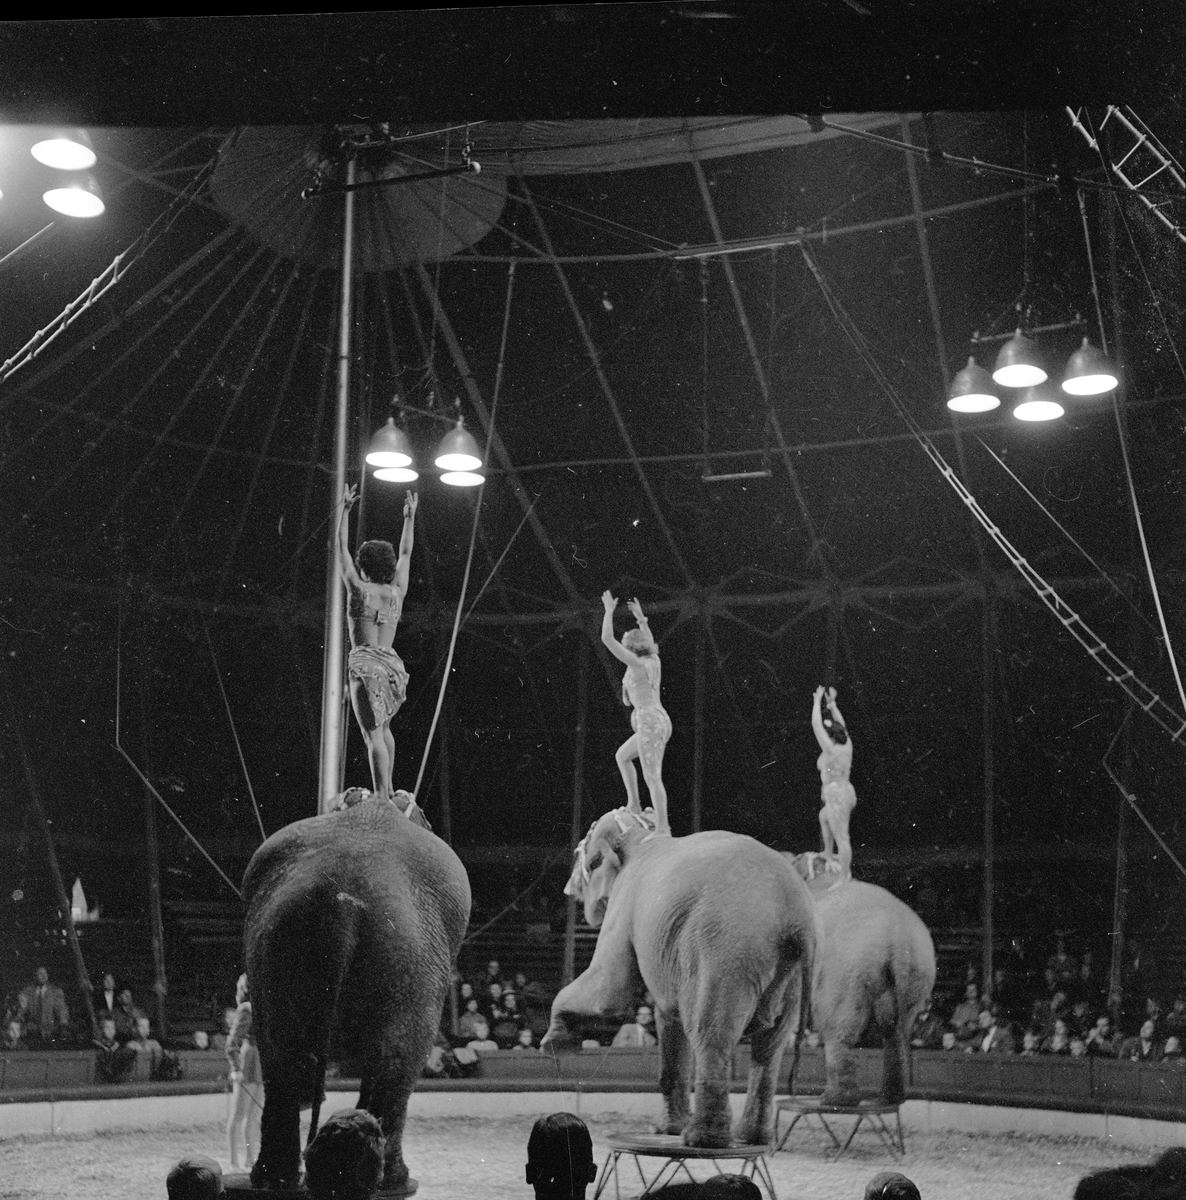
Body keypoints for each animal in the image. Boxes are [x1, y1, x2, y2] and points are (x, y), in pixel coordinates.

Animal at [243, 792, 470, 1195]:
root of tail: (343, 902)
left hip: (274, 948)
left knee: (277, 1052)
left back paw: (273, 1179)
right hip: (411, 959)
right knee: (398, 1061)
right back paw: (394, 1180)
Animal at [544, 811, 816, 1147]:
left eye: (584, 857)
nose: (569, 891)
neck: (641, 837)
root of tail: (796, 917)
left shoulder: (624, 902)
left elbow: (610, 989)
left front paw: (554, 1045)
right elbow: (667, 1016)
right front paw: (664, 1130)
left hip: (723, 949)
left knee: (711, 1033)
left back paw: (701, 1140)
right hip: (789, 973)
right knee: (771, 1044)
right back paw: (753, 1138)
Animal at [787, 854, 936, 1104]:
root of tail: (899, 937)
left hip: (846, 968)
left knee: (837, 1024)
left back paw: (835, 1099)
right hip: (918, 973)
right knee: (894, 1028)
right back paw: (888, 1099)